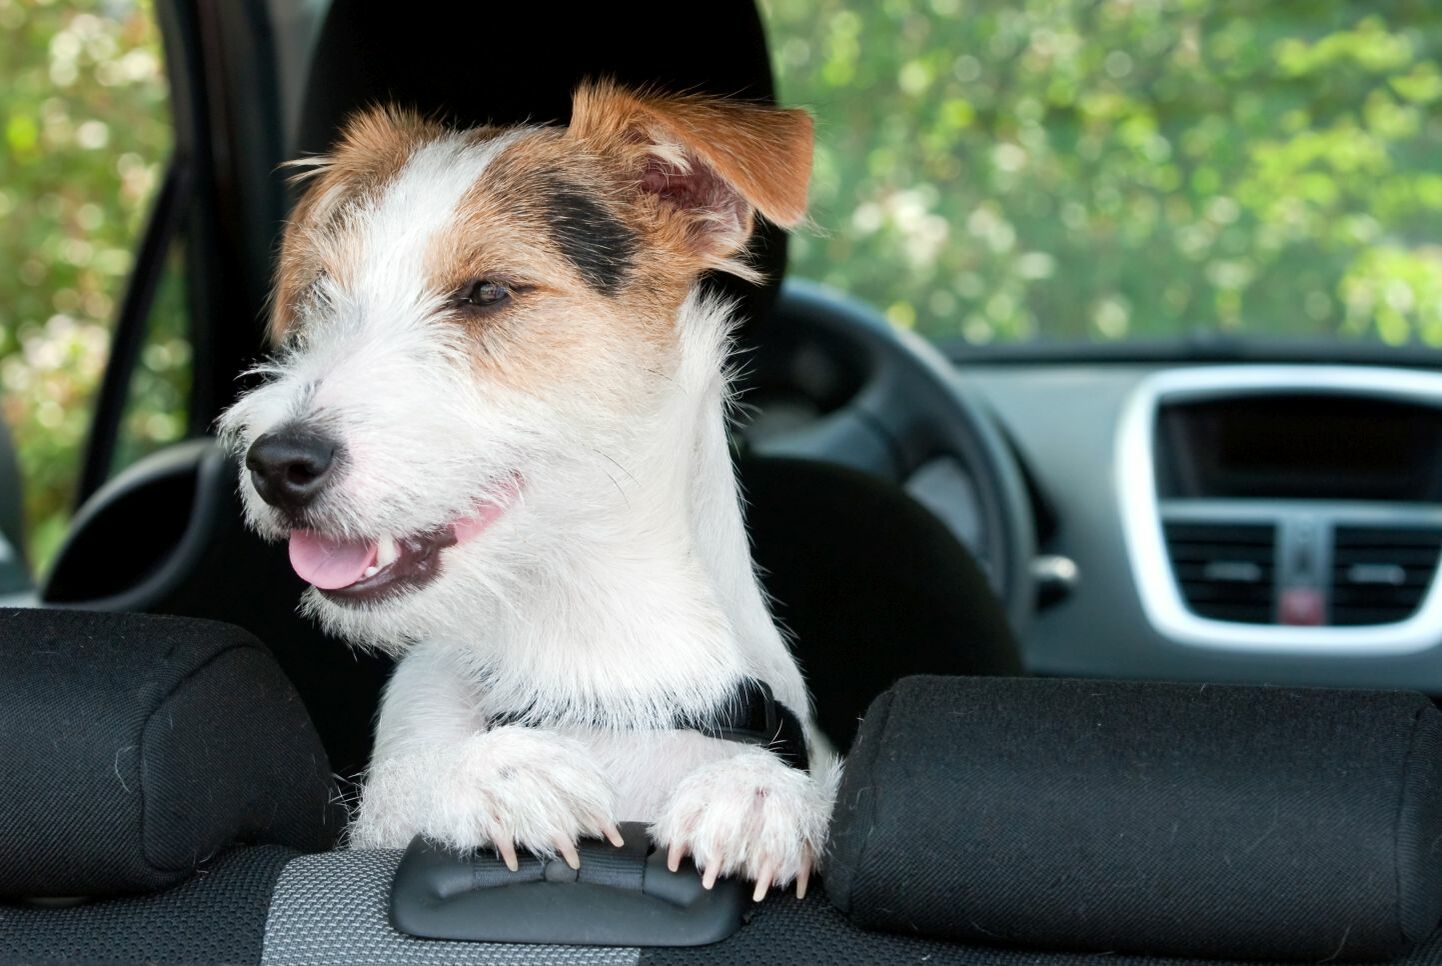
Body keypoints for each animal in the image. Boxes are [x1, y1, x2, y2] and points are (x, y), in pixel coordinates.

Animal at [219, 81, 842, 899]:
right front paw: (491, 774)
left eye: (488, 292)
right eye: (324, 298)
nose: (276, 463)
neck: (590, 665)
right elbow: (411, 787)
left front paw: (762, 792)